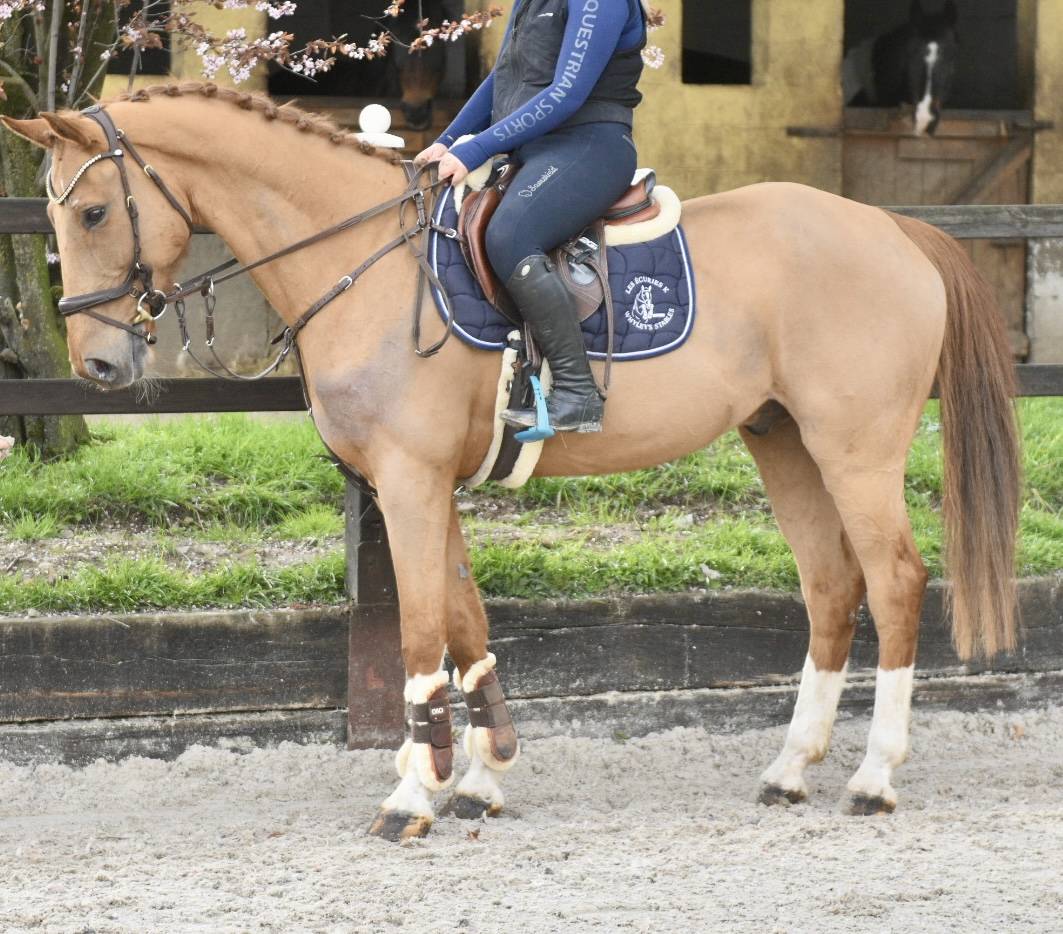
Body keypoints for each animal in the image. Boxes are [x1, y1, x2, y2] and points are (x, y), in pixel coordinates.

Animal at [1, 82, 1020, 841]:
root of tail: (892, 227)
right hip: (784, 442)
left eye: (93, 209)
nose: (97, 365)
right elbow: (464, 621)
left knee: (894, 580)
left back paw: (873, 778)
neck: (363, 262)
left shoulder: (408, 483)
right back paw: (789, 770)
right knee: (830, 588)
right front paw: (479, 777)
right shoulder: (426, 484)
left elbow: (419, 631)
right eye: (57, 212)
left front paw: (414, 794)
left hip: (855, 448)